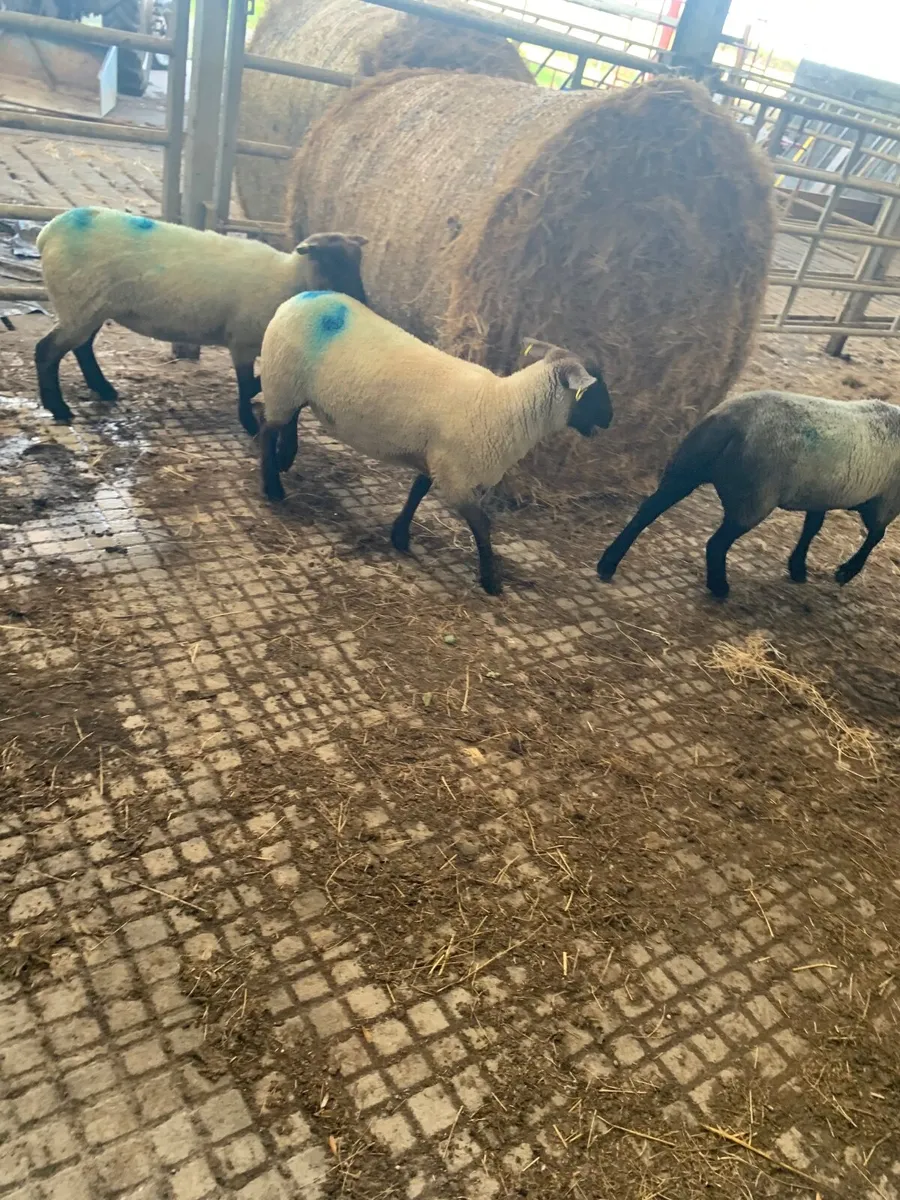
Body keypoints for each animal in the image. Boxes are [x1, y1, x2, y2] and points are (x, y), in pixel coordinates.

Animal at [33, 206, 367, 435]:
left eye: (357, 264)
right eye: (333, 263)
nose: (364, 304)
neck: (288, 278)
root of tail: (49, 231)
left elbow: (254, 384)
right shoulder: (242, 340)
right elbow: (245, 385)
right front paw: (248, 423)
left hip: (91, 307)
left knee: (82, 347)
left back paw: (102, 389)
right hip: (80, 303)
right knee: (47, 350)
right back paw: (59, 408)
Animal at [258, 292, 612, 594]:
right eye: (594, 389)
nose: (610, 419)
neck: (504, 407)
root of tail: (303, 296)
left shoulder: (435, 460)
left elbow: (417, 492)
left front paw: (400, 536)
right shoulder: (457, 477)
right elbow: (482, 525)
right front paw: (491, 581)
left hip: (292, 388)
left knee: (288, 420)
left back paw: (285, 458)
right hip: (281, 380)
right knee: (266, 429)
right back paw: (273, 486)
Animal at [597, 388, 900, 598]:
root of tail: (728, 422)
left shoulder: (821, 495)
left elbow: (812, 528)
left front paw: (798, 567)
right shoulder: (885, 501)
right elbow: (874, 536)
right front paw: (845, 572)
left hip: (684, 471)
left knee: (646, 511)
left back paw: (607, 564)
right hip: (753, 499)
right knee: (716, 543)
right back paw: (720, 588)